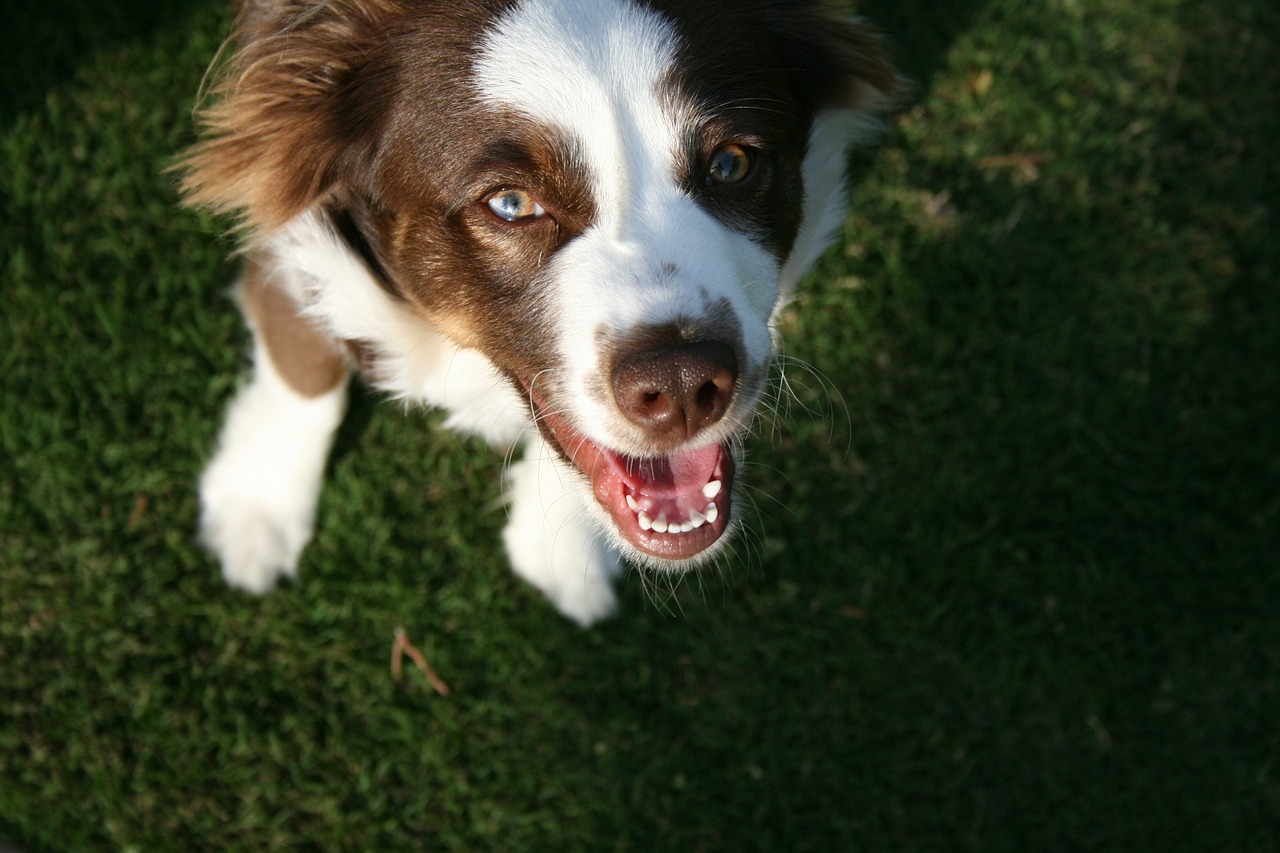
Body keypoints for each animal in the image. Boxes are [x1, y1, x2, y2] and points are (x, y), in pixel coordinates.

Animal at [183, 0, 890, 625]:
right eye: (511, 203)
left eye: (731, 162)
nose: (684, 386)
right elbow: (303, 369)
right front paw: (256, 504)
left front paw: (562, 553)